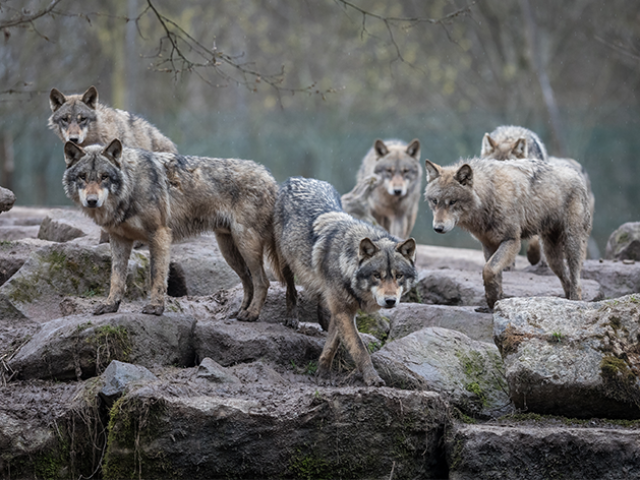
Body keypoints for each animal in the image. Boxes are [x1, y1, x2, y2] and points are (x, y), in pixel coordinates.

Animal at [62, 138, 282, 322]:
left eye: (104, 177)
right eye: (82, 177)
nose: (92, 201)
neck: (131, 186)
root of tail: (271, 177)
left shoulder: (159, 234)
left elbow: (157, 275)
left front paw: (155, 308)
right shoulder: (118, 239)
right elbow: (116, 278)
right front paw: (110, 305)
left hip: (246, 244)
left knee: (262, 281)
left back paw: (251, 314)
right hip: (229, 250)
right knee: (248, 281)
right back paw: (241, 312)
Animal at [274, 176, 416, 386]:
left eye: (398, 275)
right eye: (377, 275)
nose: (390, 301)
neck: (346, 262)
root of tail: (299, 178)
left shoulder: (343, 311)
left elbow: (333, 344)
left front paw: (323, 373)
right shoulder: (343, 311)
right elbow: (359, 348)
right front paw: (372, 378)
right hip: (286, 262)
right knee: (291, 289)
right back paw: (292, 317)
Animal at [422, 156, 592, 310]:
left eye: (452, 202)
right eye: (435, 201)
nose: (438, 228)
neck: (490, 195)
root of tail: (576, 173)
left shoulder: (512, 241)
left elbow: (489, 269)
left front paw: (492, 299)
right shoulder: (488, 244)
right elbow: (494, 273)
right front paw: (495, 300)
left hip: (571, 244)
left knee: (576, 279)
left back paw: (575, 302)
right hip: (552, 256)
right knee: (566, 279)